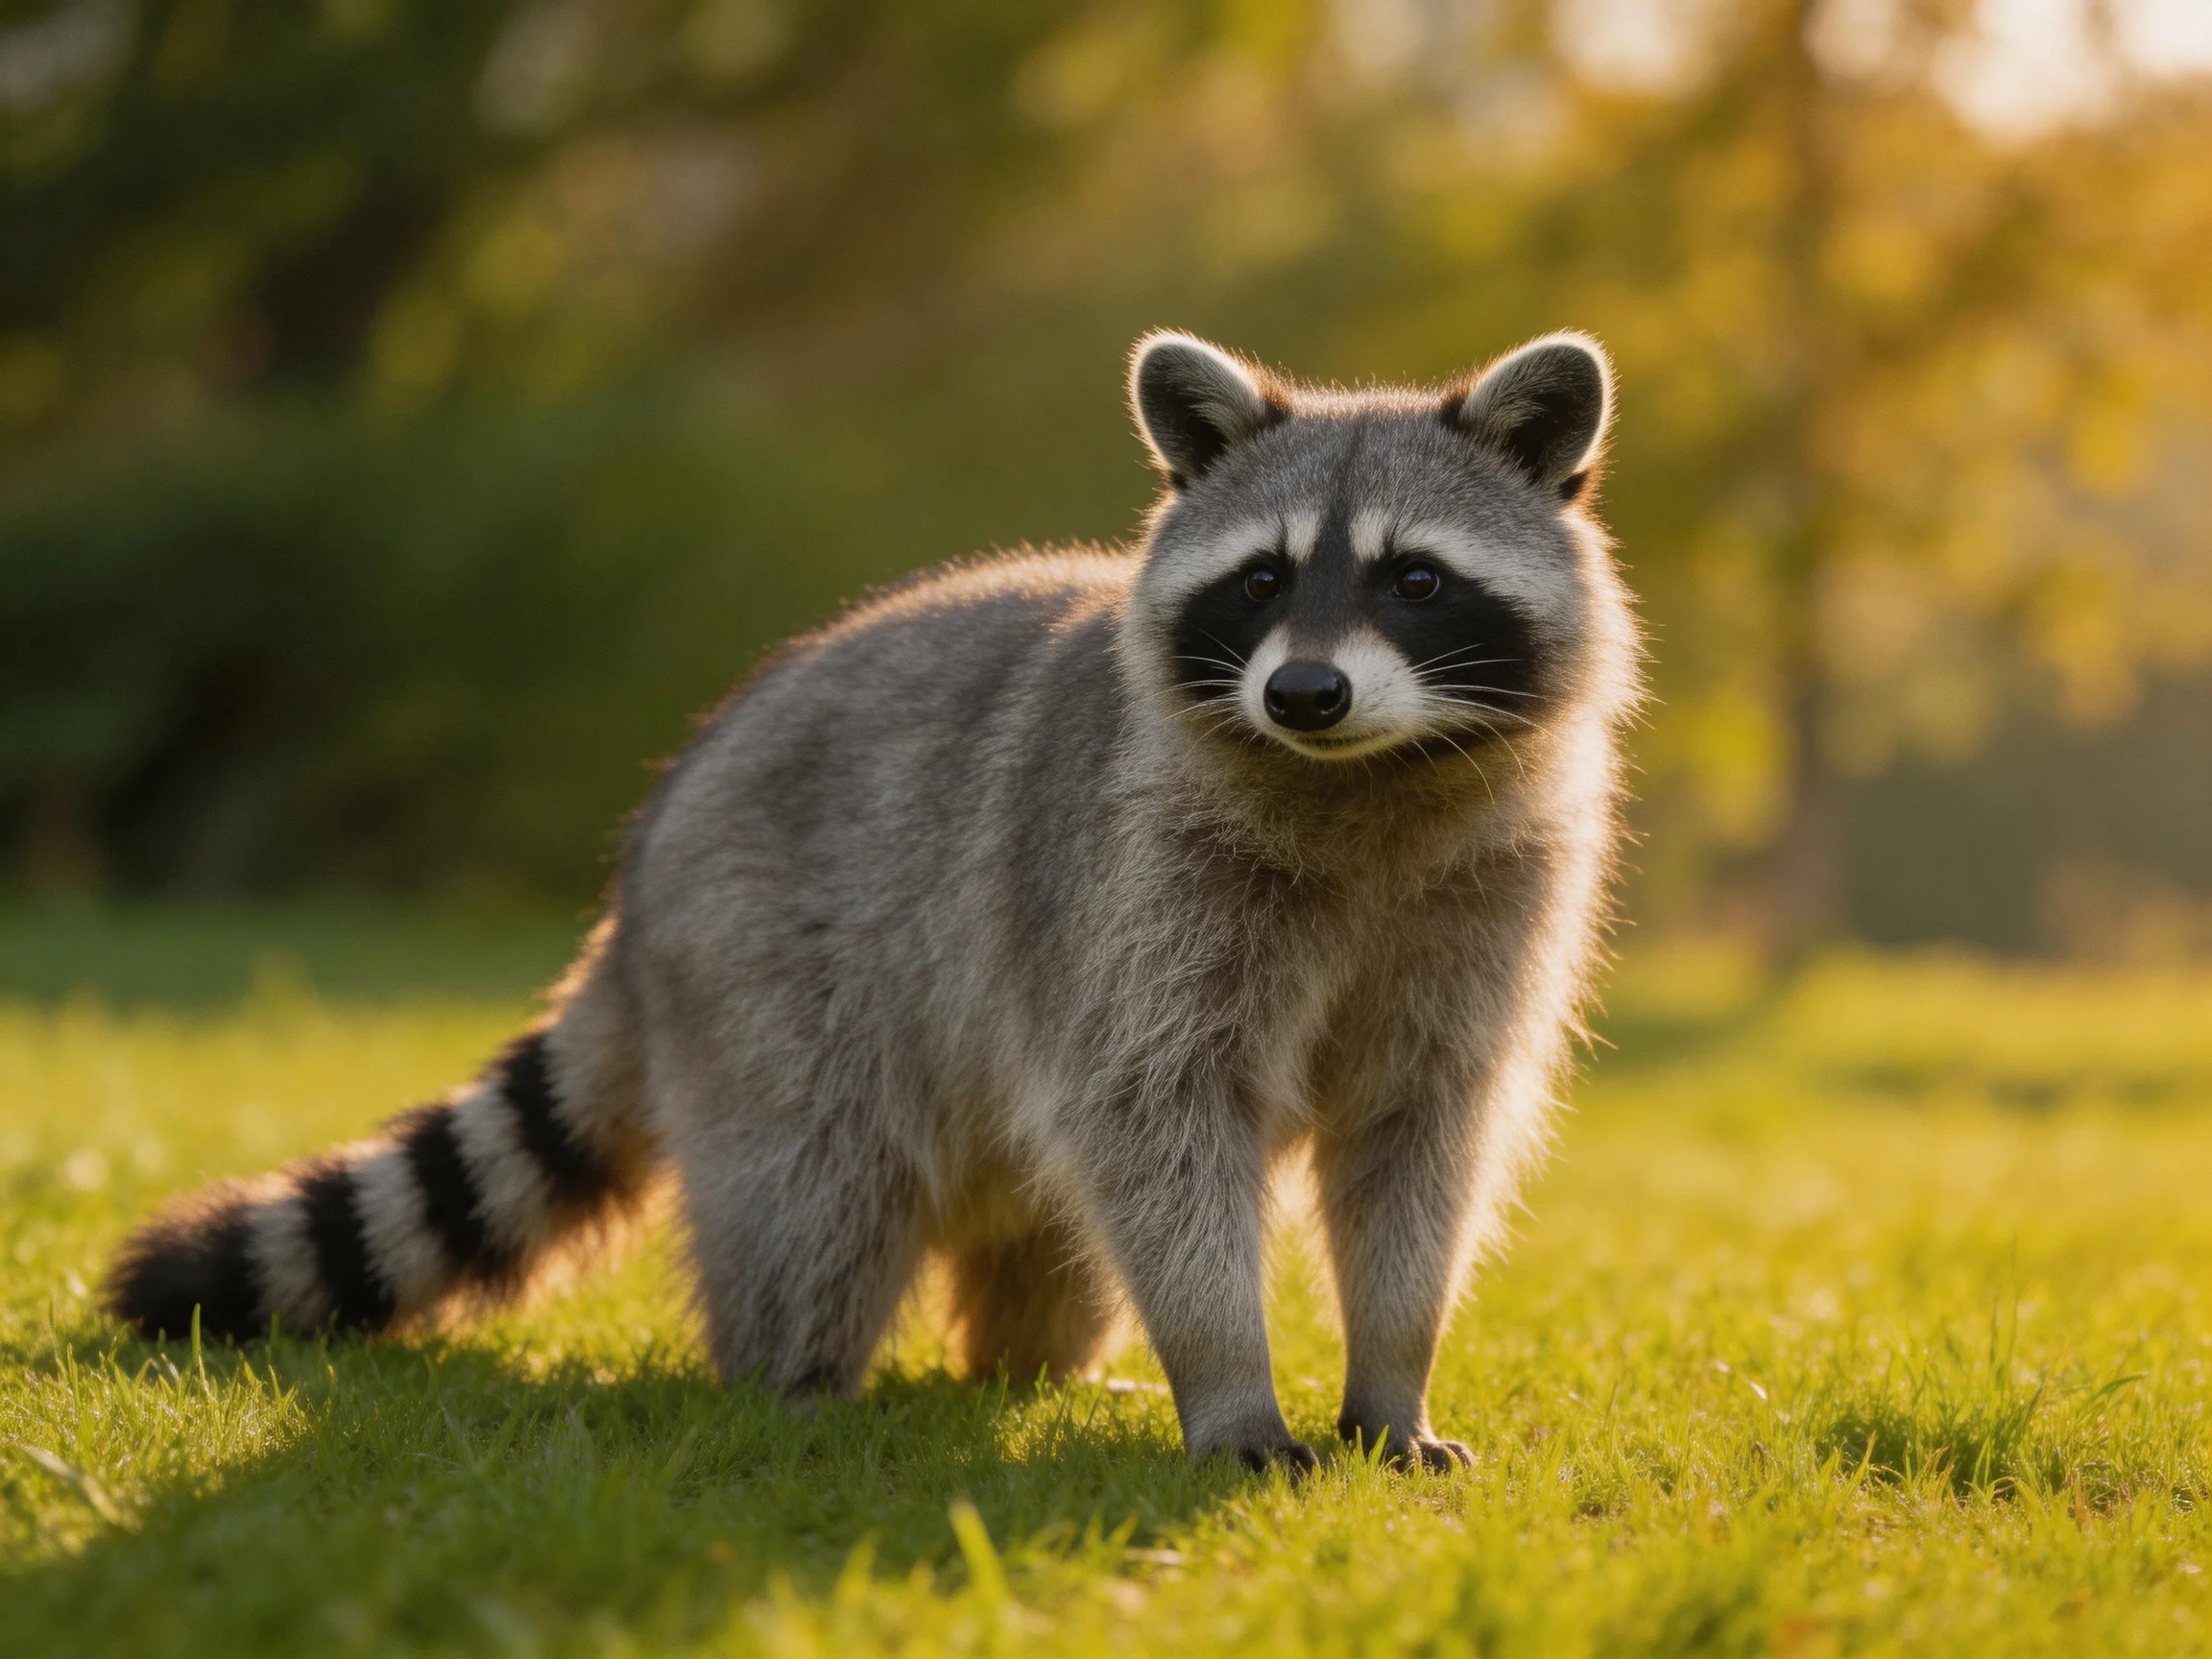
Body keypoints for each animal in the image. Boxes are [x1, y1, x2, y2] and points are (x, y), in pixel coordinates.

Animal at [107, 330, 1639, 1472]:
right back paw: (794, 1382)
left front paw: (1392, 1374)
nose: (1303, 692)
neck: (1363, 777)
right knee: (816, 1187)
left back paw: (1028, 1372)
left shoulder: (1489, 899)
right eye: (1261, 580)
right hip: (767, 956)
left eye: (1415, 580)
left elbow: (1417, 1143)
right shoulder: (1136, 889)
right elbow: (1162, 1126)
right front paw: (1229, 1381)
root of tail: (641, 875)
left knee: (1046, 1236)